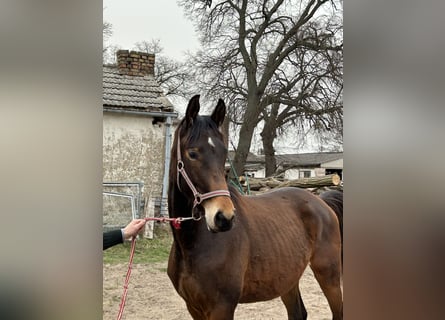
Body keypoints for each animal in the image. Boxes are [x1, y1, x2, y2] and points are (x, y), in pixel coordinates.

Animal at [166, 95, 344, 320]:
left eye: (223, 154)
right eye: (192, 153)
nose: (224, 217)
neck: (192, 245)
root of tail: (322, 203)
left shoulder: (222, 307)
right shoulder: (194, 307)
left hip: (328, 274)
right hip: (287, 278)